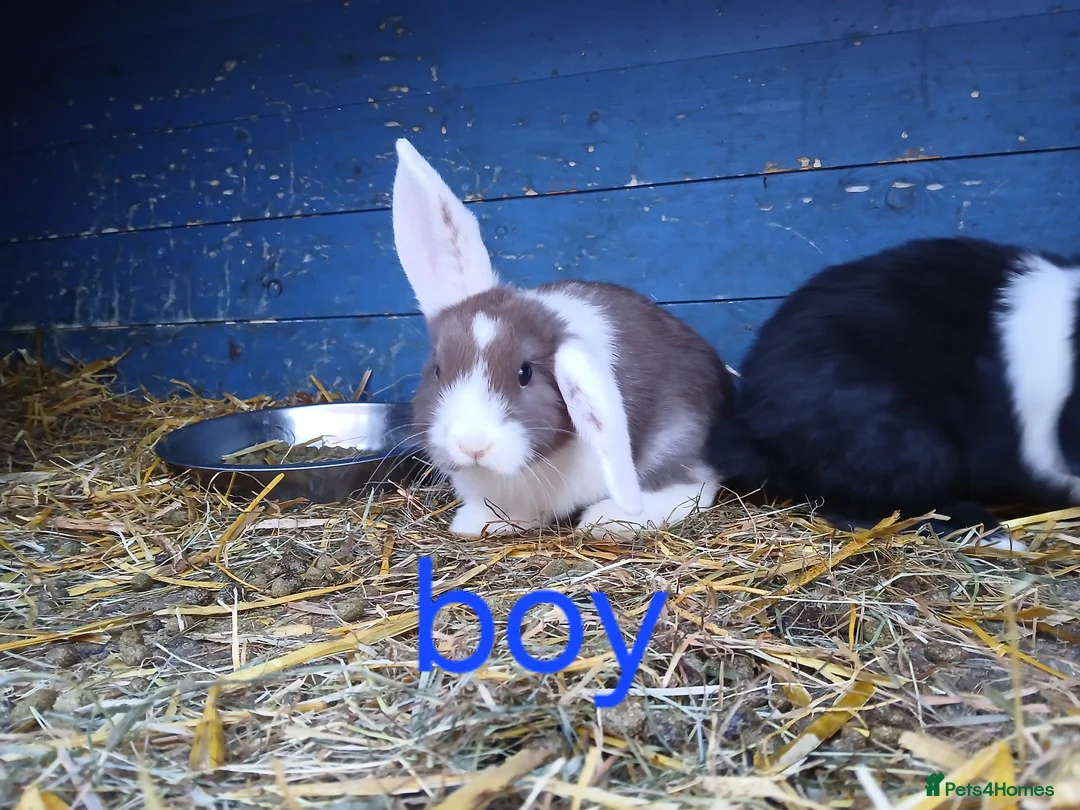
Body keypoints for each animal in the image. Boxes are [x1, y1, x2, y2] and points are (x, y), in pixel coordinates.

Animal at [390, 137, 734, 536]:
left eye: (525, 373)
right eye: (438, 370)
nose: (472, 444)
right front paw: (477, 522)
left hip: (680, 435)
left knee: (694, 485)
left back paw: (607, 520)